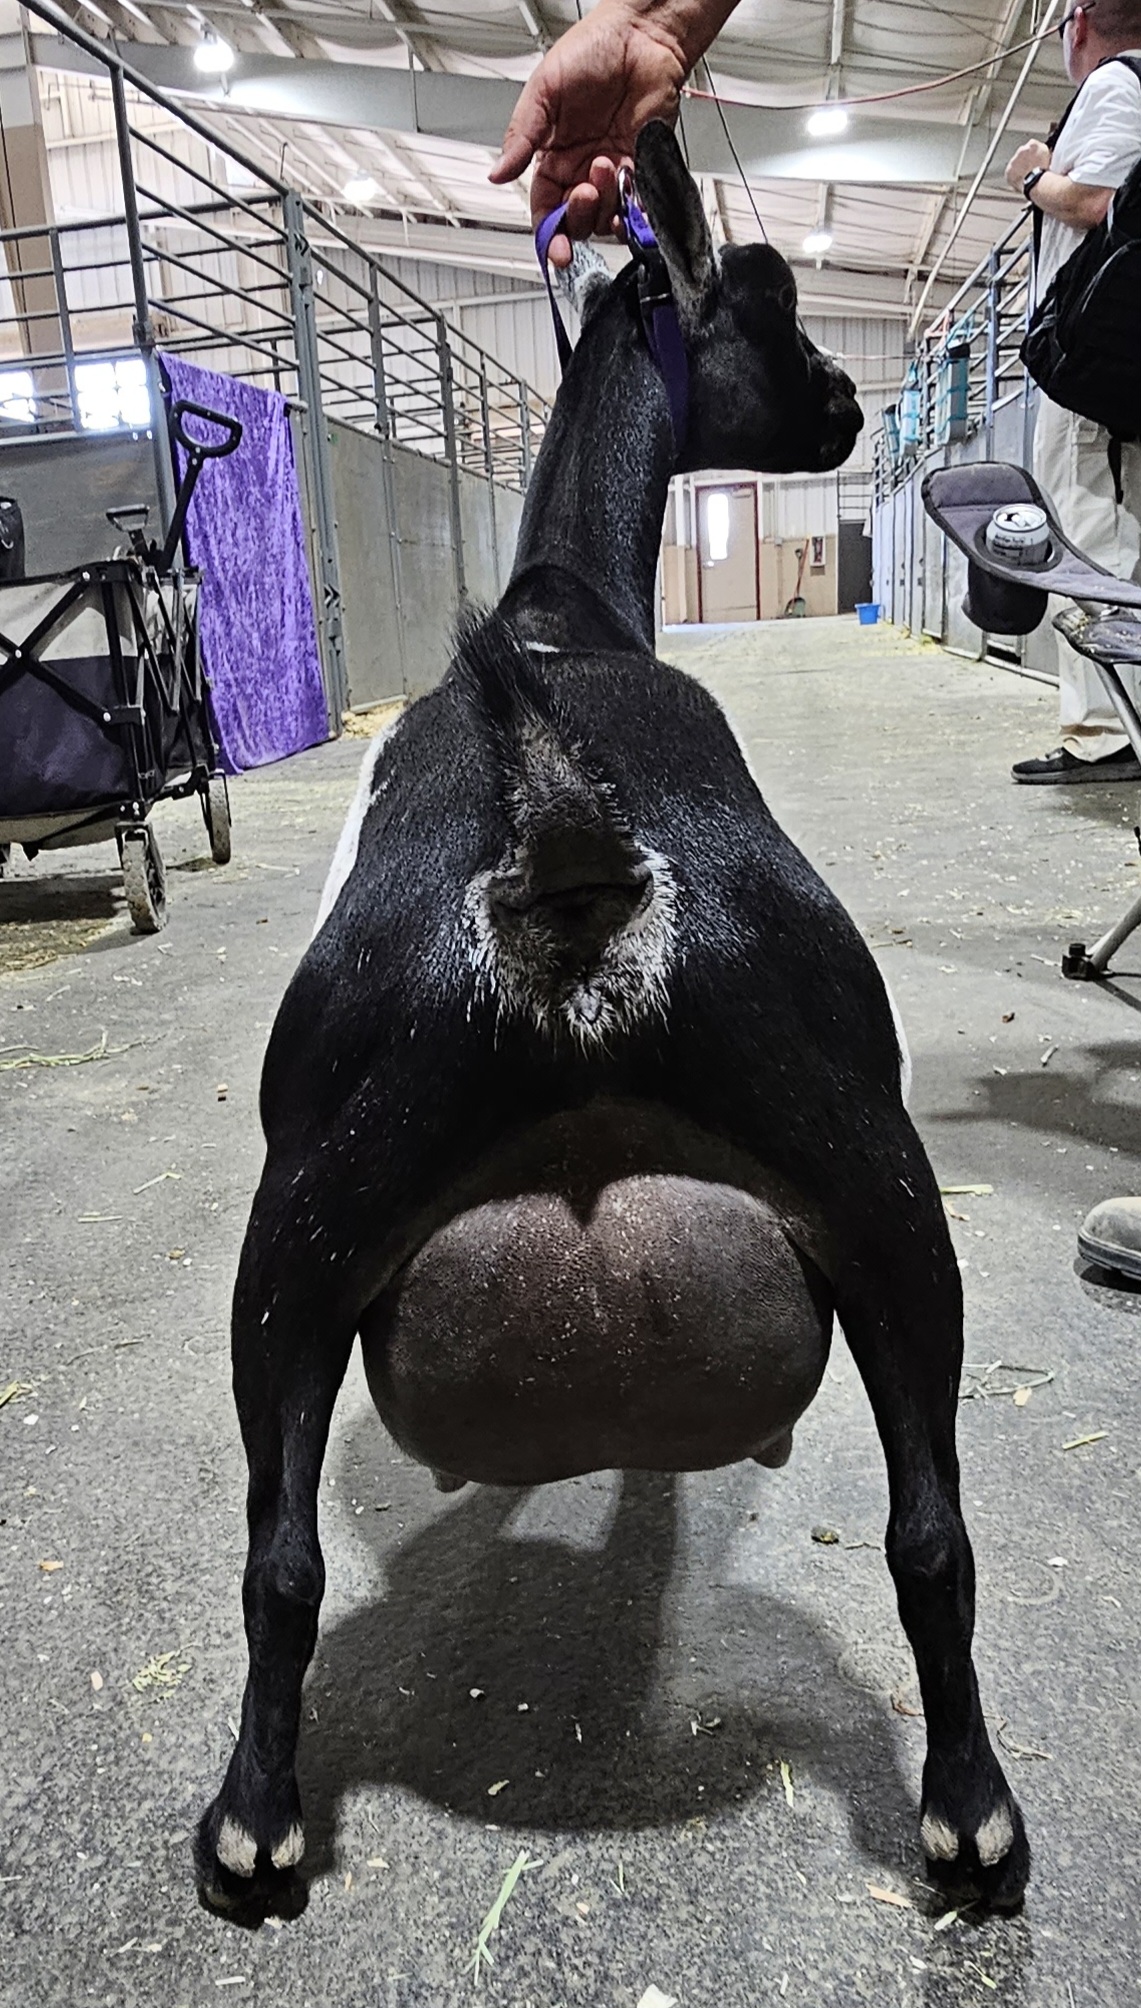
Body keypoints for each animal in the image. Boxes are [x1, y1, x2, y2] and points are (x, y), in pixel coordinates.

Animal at [196, 121, 1029, 1919]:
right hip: (860, 1168)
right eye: (767, 307)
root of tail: (569, 854)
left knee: (279, 1549)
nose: (849, 412)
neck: (561, 608)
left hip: (320, 1219)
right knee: (929, 1528)